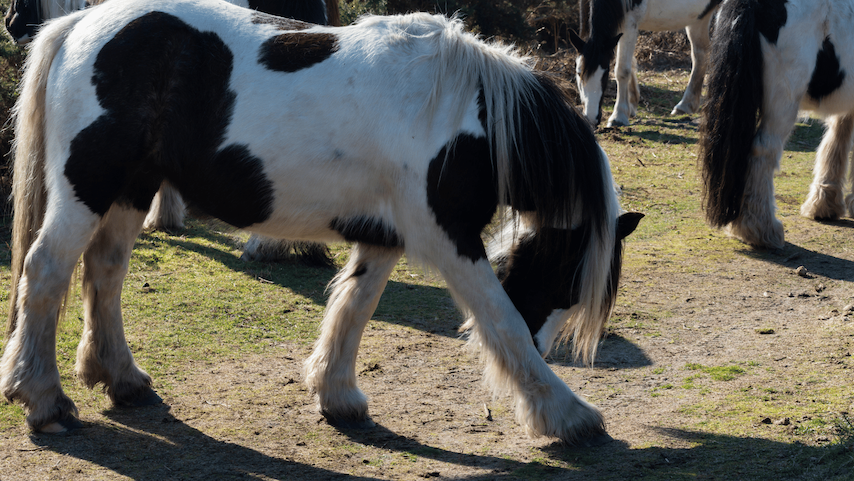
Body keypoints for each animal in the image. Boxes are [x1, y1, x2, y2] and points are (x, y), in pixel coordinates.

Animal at [0, 0, 640, 442]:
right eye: (566, 276)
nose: (546, 341)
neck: (463, 113)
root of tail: (80, 24)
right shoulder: (450, 239)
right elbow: (499, 319)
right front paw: (566, 414)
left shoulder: (383, 236)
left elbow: (354, 306)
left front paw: (337, 395)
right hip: (87, 188)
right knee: (46, 271)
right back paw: (43, 399)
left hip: (132, 189)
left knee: (104, 271)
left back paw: (120, 378)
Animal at [568, 0, 724, 126]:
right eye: (578, 73)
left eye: (605, 74)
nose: (591, 118)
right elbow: (629, 64)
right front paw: (631, 105)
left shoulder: (629, 23)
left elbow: (622, 70)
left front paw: (619, 116)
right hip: (699, 17)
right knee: (700, 54)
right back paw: (686, 105)